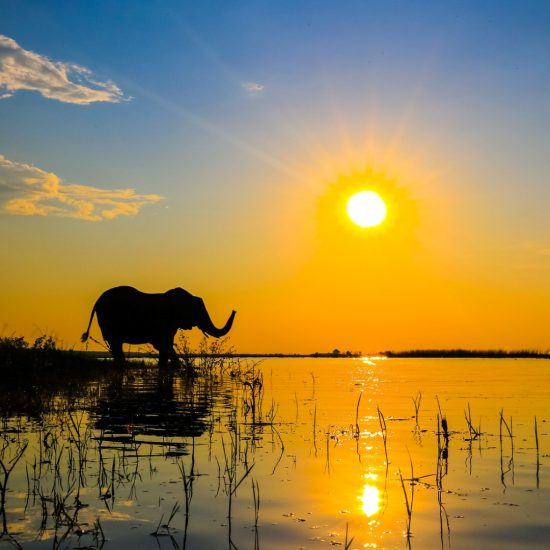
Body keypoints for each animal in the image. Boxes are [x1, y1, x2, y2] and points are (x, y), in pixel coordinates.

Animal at [82, 286, 237, 368]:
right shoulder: (163, 322)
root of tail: (97, 301)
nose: (234, 310)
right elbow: (163, 345)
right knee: (115, 344)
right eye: (197, 311)